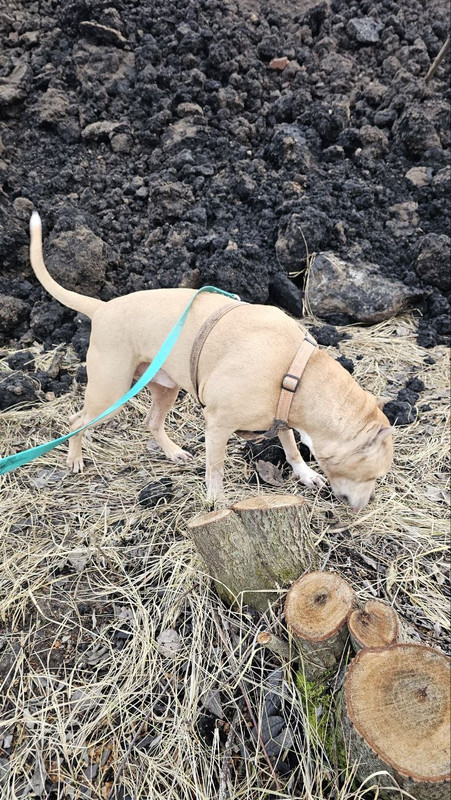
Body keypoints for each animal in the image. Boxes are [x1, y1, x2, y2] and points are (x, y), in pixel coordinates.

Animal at [29, 212, 393, 510]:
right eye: (370, 475)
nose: (363, 506)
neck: (295, 370)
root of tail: (103, 308)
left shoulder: (282, 415)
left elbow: (291, 447)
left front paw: (305, 474)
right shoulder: (217, 424)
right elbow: (215, 469)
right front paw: (215, 502)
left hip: (165, 387)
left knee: (151, 421)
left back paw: (172, 452)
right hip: (110, 392)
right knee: (77, 420)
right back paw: (75, 458)